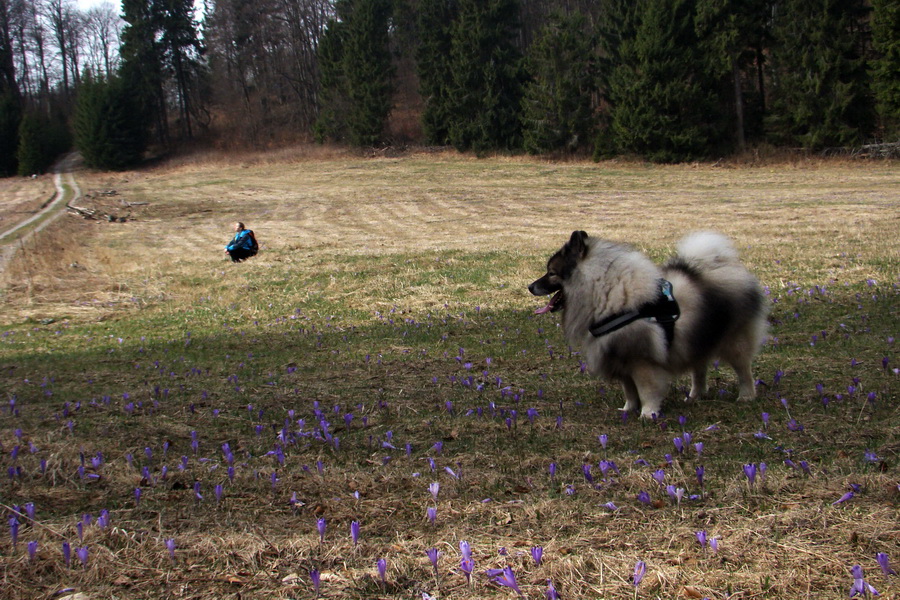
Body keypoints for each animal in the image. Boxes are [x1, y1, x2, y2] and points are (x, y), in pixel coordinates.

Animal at [532, 230, 768, 418]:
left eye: (551, 273)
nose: (530, 286)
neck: (605, 293)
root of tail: (721, 265)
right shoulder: (621, 361)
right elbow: (629, 391)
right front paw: (628, 410)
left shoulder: (641, 362)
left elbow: (647, 391)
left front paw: (648, 413)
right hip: (696, 339)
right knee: (699, 370)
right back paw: (695, 396)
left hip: (734, 342)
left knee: (744, 370)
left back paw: (746, 396)